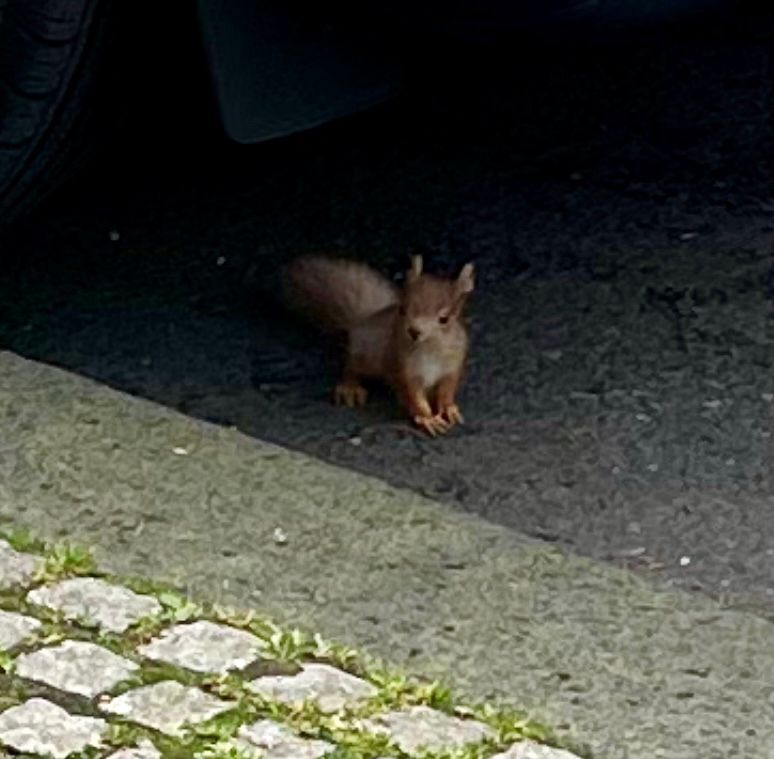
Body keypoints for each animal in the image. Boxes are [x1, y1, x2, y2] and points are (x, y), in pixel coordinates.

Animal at [281, 253, 474, 436]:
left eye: (444, 319)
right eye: (402, 309)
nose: (413, 331)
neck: (430, 348)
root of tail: (362, 322)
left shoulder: (452, 367)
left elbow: (447, 392)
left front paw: (450, 409)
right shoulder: (403, 368)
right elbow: (415, 397)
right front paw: (428, 419)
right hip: (367, 356)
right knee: (351, 366)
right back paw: (349, 388)